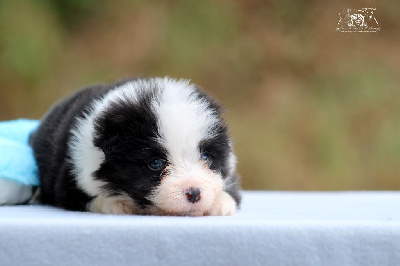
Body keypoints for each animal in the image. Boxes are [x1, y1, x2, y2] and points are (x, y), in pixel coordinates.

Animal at [30, 77, 241, 216]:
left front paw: (221, 203)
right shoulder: (70, 179)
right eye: (155, 163)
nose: (195, 193)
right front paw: (116, 203)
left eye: (206, 157)